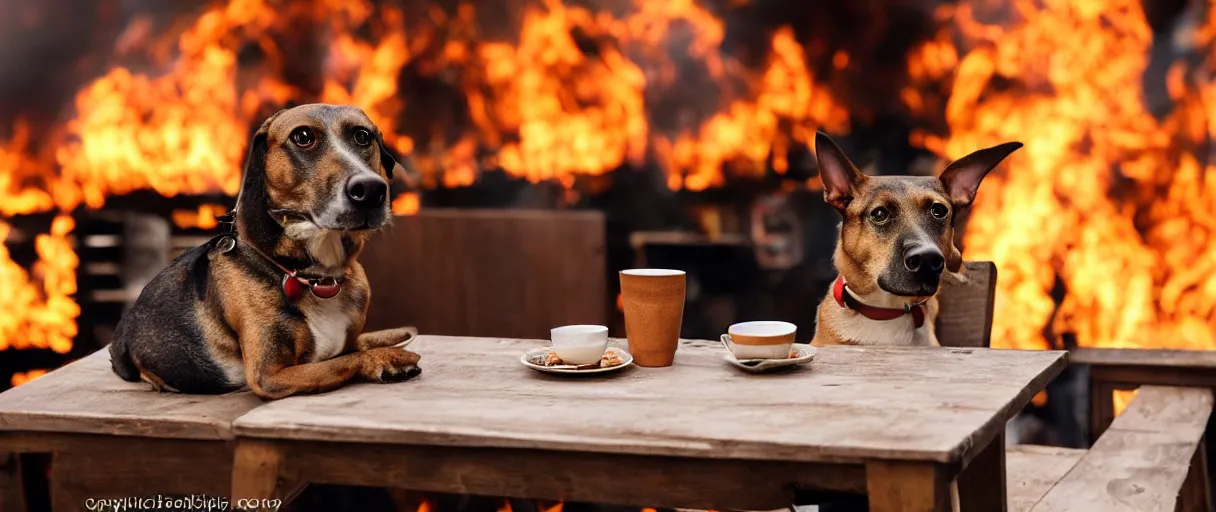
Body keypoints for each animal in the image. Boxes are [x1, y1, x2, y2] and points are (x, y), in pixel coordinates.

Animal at [111, 103, 423, 398]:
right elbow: (343, 360)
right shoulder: (270, 374)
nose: (370, 190)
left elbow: (360, 343)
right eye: (303, 137)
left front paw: (391, 339)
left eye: (362, 136)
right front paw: (388, 357)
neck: (315, 276)